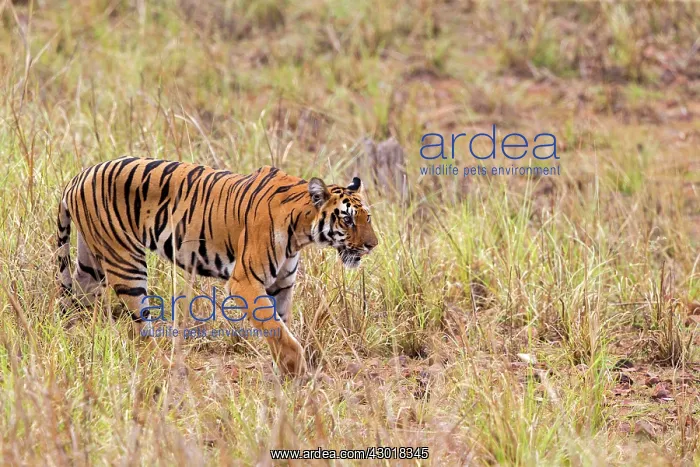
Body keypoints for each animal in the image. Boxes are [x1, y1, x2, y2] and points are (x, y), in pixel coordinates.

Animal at [56, 157, 378, 375]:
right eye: (347, 219)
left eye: (367, 218)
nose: (373, 245)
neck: (301, 232)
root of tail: (78, 176)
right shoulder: (245, 281)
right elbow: (277, 329)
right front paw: (298, 374)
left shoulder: (282, 285)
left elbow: (281, 327)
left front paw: (284, 372)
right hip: (126, 261)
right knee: (140, 329)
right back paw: (167, 365)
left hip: (92, 261)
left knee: (77, 301)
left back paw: (79, 341)